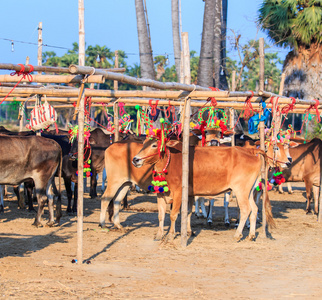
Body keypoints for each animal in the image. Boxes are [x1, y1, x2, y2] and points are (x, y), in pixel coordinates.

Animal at [131, 139, 292, 240]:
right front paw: (160, 235)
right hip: (249, 191)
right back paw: (251, 235)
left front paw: (170, 235)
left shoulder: (178, 193)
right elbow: (163, 215)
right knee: (254, 209)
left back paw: (237, 234)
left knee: (246, 209)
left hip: (240, 190)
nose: (135, 159)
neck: (170, 163)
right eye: (144, 143)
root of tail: (253, 153)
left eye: (154, 145)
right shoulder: (163, 194)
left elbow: (173, 215)